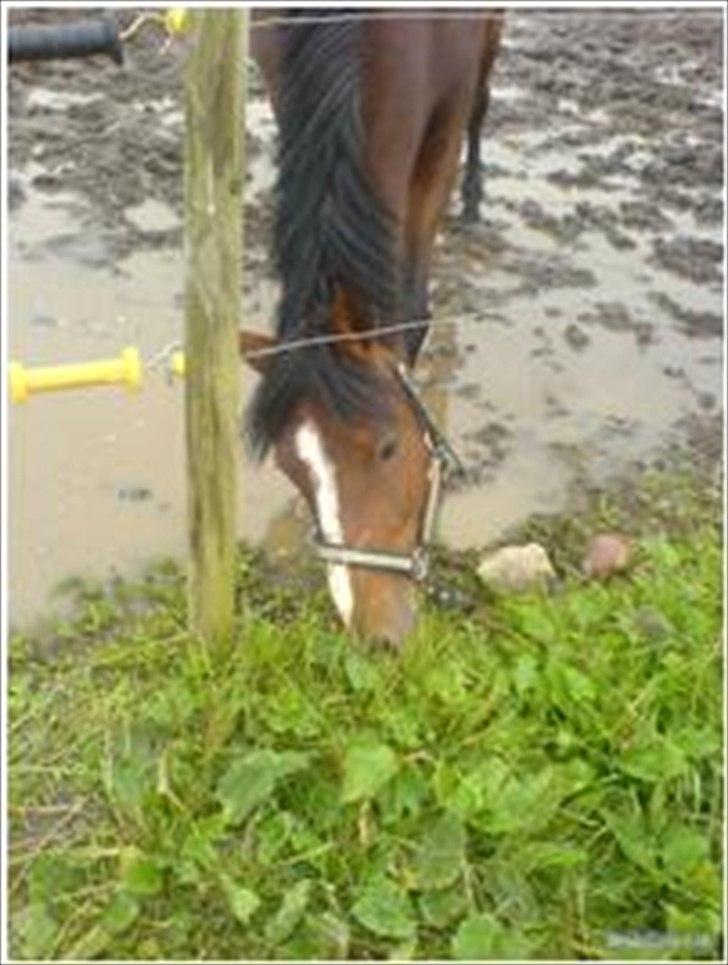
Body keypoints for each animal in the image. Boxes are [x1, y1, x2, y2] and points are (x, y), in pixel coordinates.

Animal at [242, 7, 504, 644]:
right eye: (291, 469)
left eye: (388, 448)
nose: (375, 636)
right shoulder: (285, 85)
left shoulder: (442, 124)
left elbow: (410, 306)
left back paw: (476, 198)